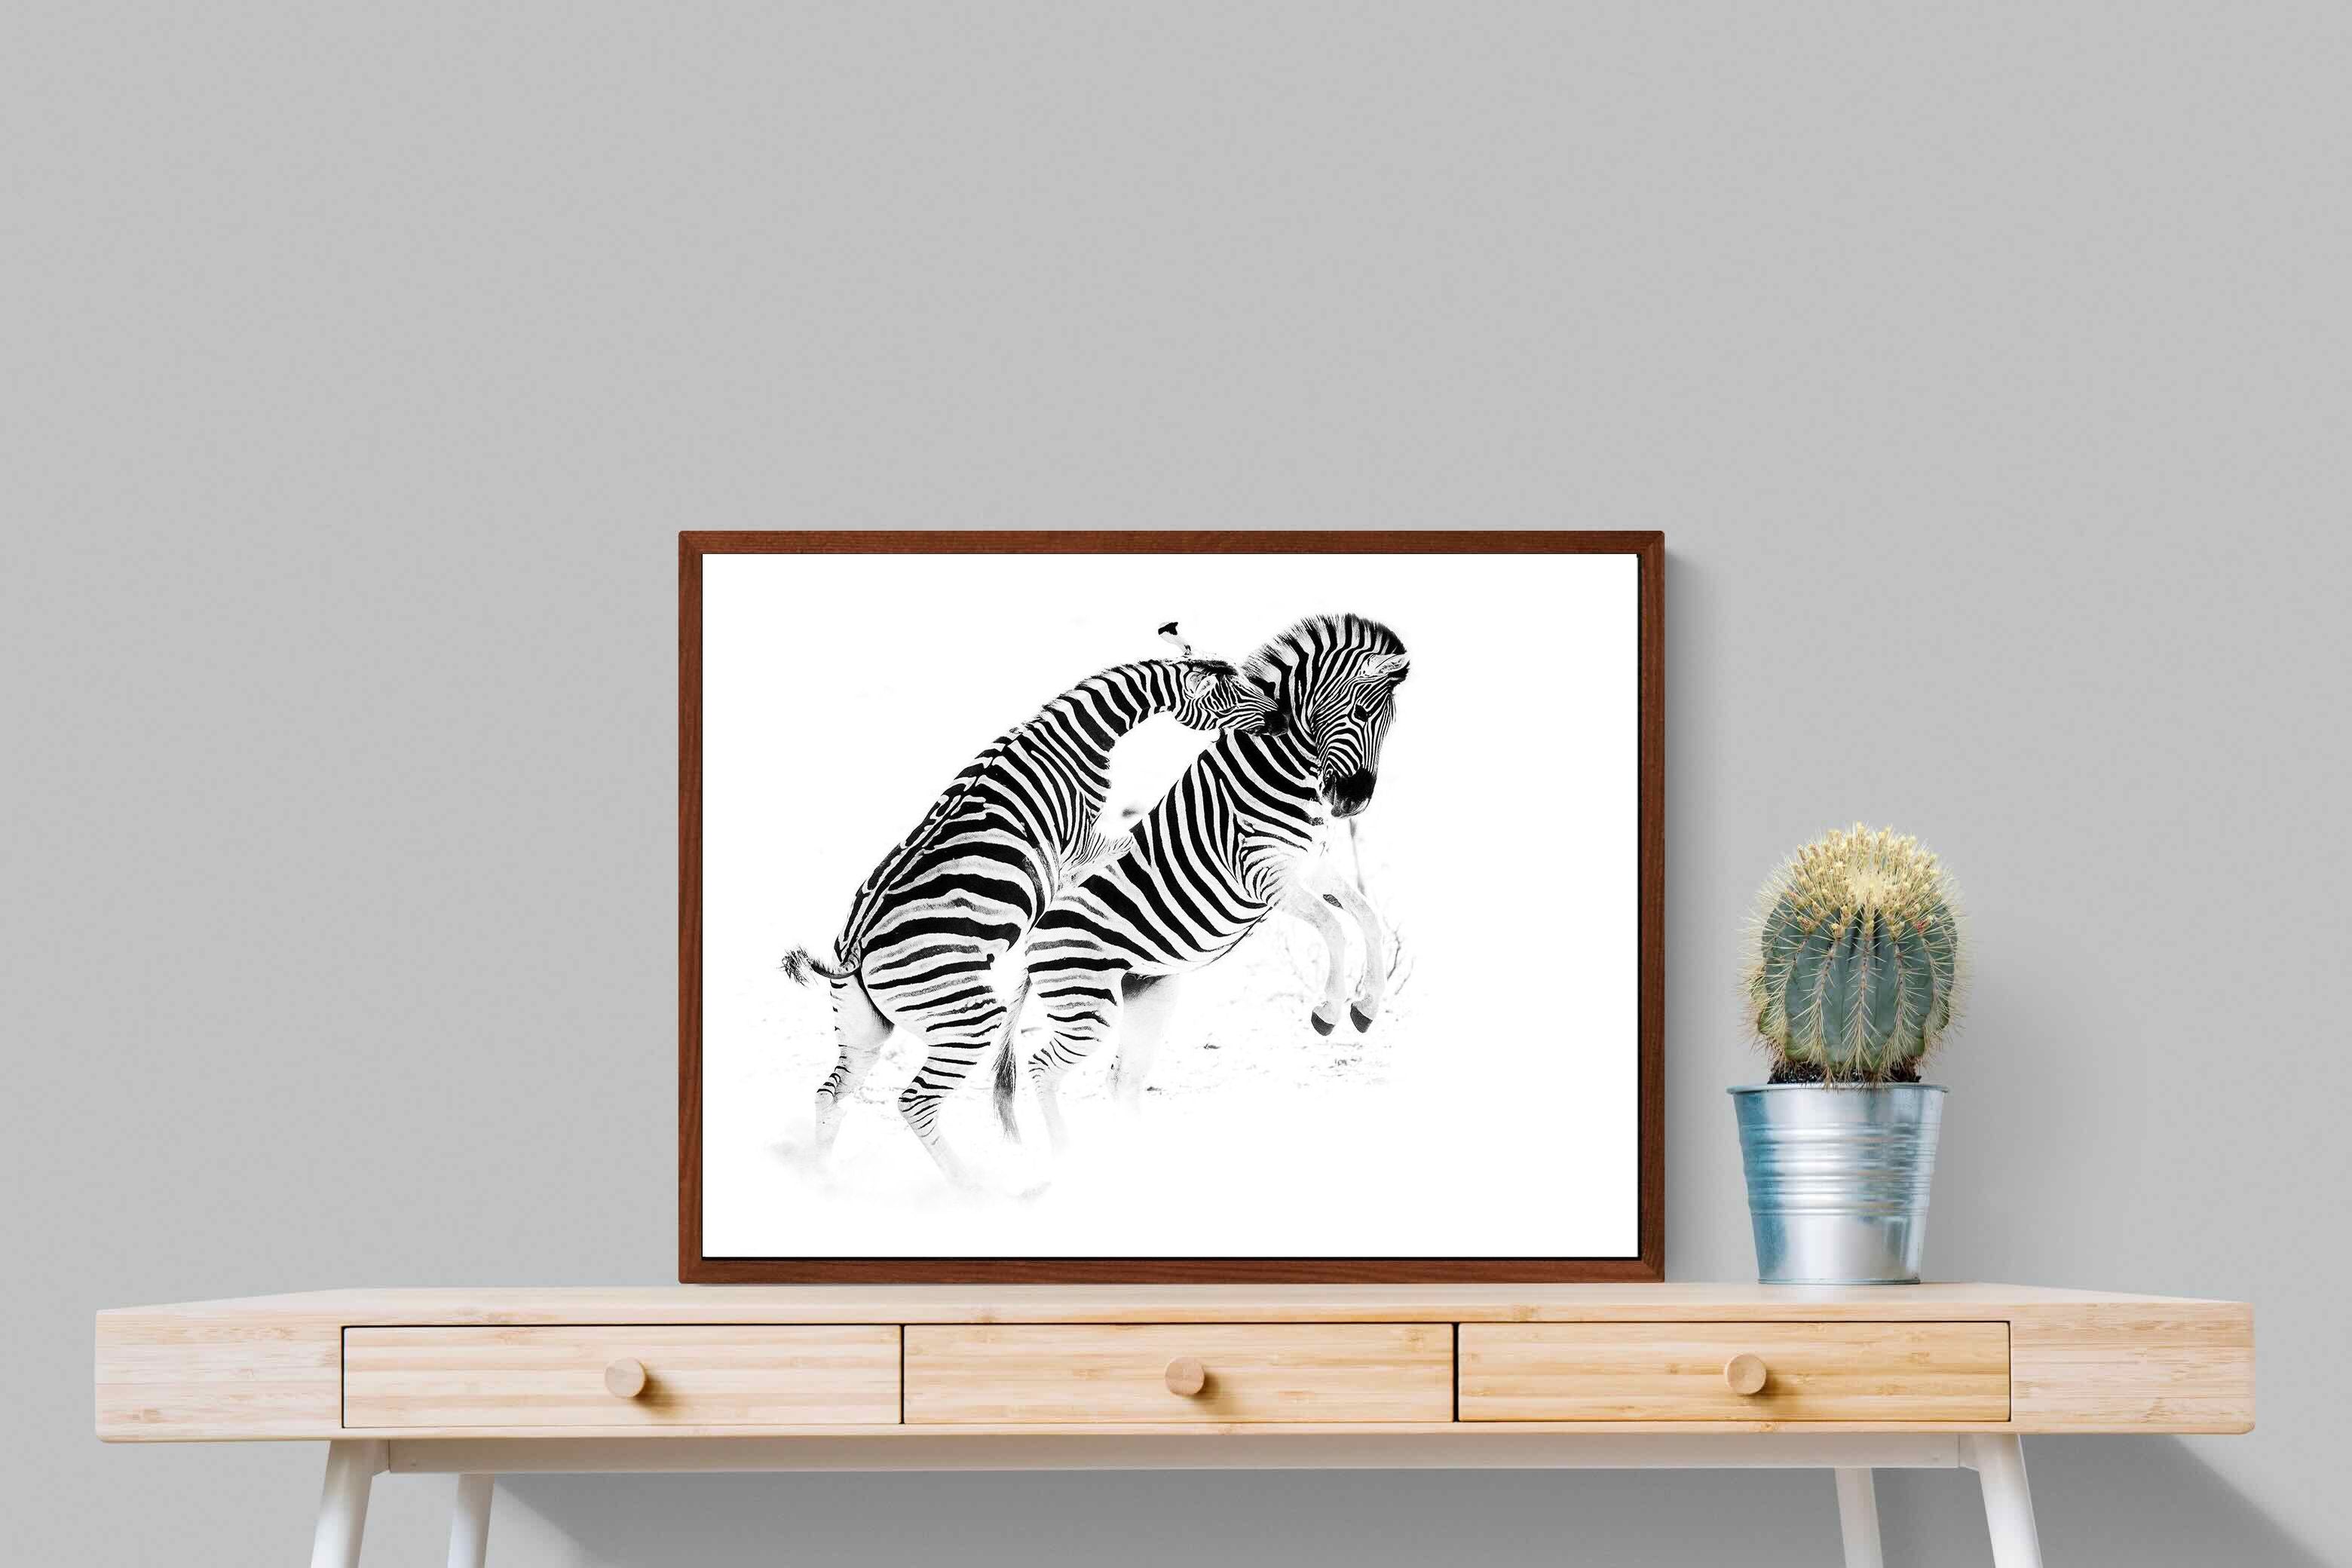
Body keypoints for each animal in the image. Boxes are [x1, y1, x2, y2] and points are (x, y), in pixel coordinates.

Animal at [779, 630, 1283, 1184]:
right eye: (1238, 696)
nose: (1281, 718)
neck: (1074, 740)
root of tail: (856, 948)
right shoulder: (1078, 846)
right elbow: (1126, 845)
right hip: (969, 1019)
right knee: (915, 1101)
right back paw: (972, 1185)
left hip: (863, 1029)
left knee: (832, 1094)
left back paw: (825, 1178)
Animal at [988, 612, 1410, 1151]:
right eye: (1359, 710)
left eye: (1390, 723)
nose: (1354, 802)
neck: (1279, 766)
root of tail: (1029, 941)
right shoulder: (1263, 873)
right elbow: (1335, 927)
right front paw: (1329, 1011)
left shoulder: (1311, 866)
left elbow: (1367, 918)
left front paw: (1367, 1006)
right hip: (1087, 1002)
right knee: (1043, 1069)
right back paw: (1066, 1155)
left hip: (1149, 994)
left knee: (1121, 1082)